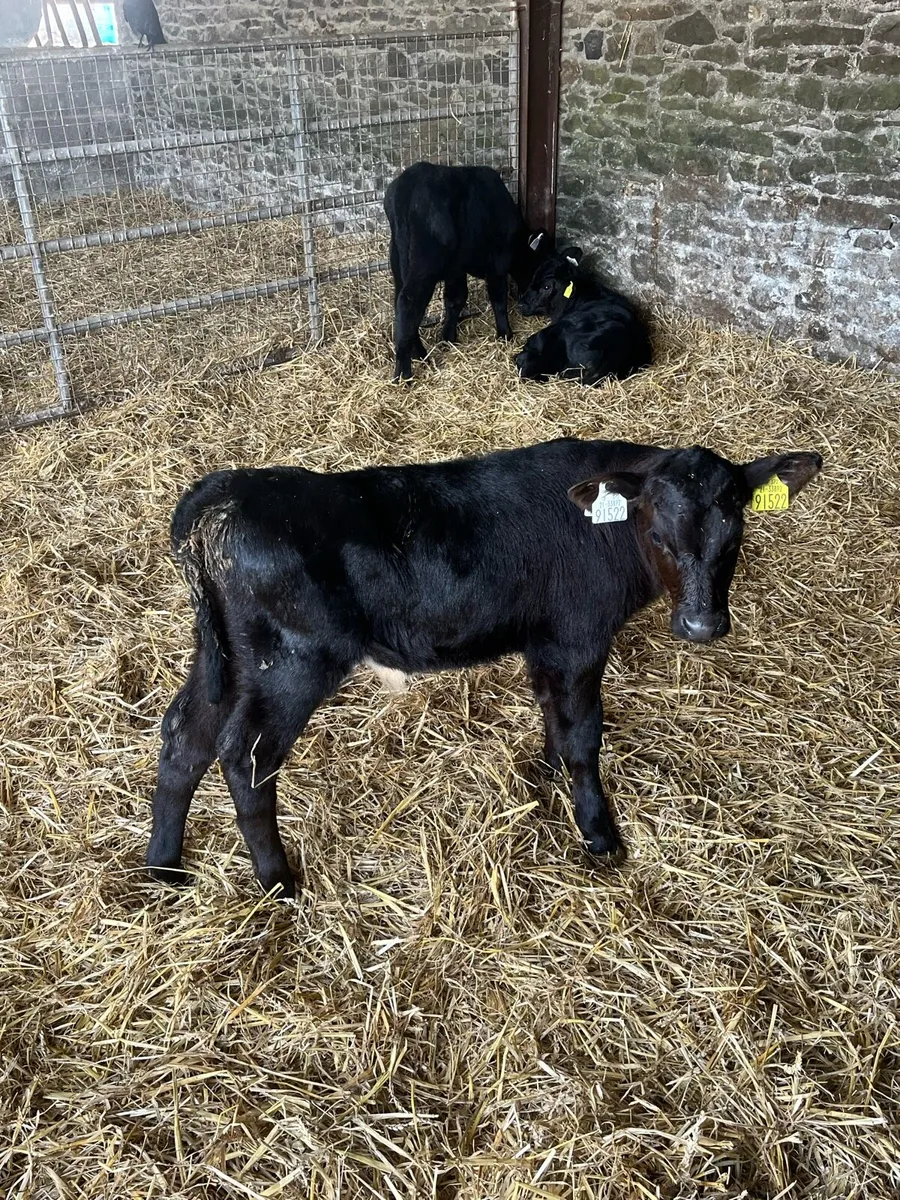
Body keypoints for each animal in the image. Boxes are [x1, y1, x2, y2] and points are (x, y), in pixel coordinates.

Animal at [146, 438, 823, 898]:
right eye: (658, 534)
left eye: (734, 535)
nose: (702, 626)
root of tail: (222, 496)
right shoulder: (577, 638)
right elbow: (584, 735)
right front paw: (600, 834)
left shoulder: (546, 642)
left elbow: (554, 717)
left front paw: (547, 775)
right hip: (291, 662)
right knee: (244, 755)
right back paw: (277, 881)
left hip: (226, 657)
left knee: (185, 737)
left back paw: (163, 867)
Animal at [384, 161, 548, 381]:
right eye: (538, 265)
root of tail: (409, 180)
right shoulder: (499, 262)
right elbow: (498, 298)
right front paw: (505, 333)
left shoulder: (456, 269)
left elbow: (456, 300)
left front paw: (448, 338)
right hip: (424, 266)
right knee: (408, 304)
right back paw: (404, 372)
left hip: (398, 260)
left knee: (402, 305)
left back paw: (418, 353)